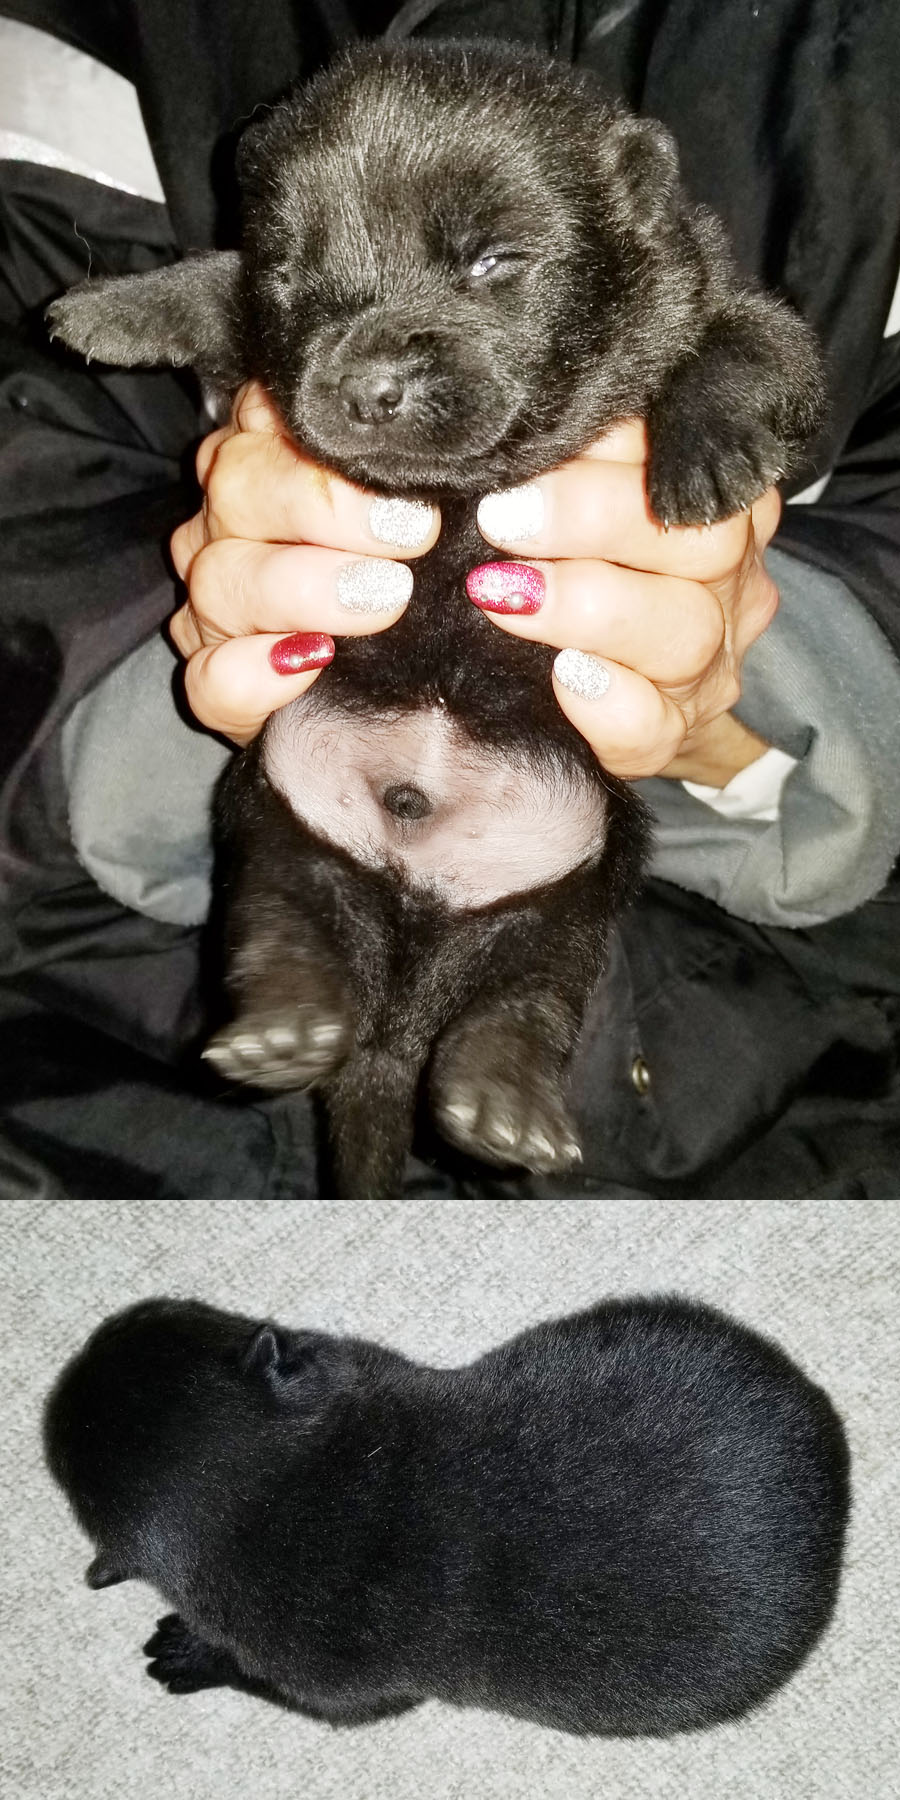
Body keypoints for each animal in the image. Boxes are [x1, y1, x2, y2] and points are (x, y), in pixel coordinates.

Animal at [44, 1293, 849, 1735]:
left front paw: (188, 1651)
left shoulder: (330, 1684)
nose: (98, 1336)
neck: (267, 1483)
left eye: (157, 1317)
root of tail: (836, 1485)